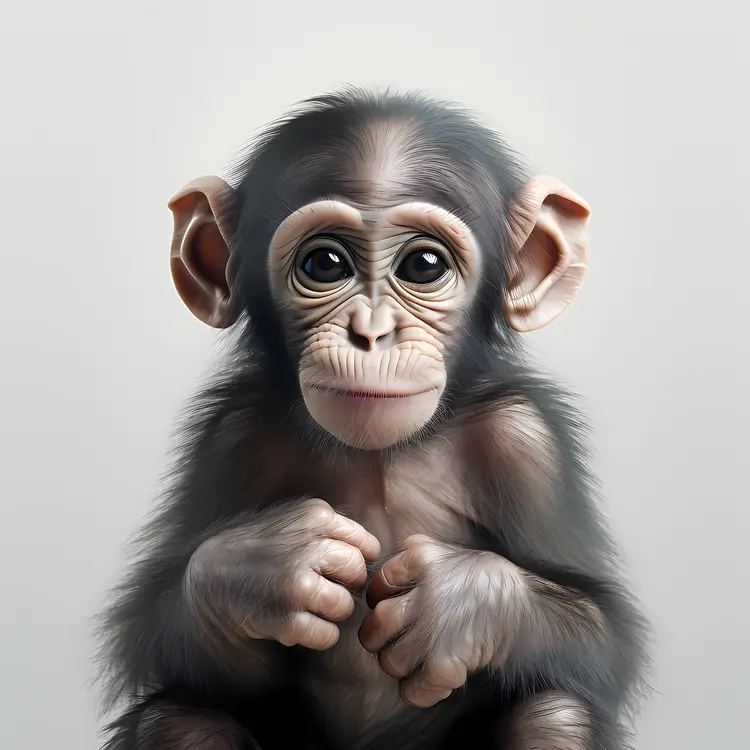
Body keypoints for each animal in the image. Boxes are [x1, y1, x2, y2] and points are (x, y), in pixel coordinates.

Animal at [97, 88, 648, 750]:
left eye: (424, 265)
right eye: (325, 264)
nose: (371, 332)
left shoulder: (527, 441)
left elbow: (604, 628)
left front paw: (460, 605)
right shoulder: (230, 439)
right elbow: (163, 637)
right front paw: (258, 571)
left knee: (555, 712)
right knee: (181, 716)